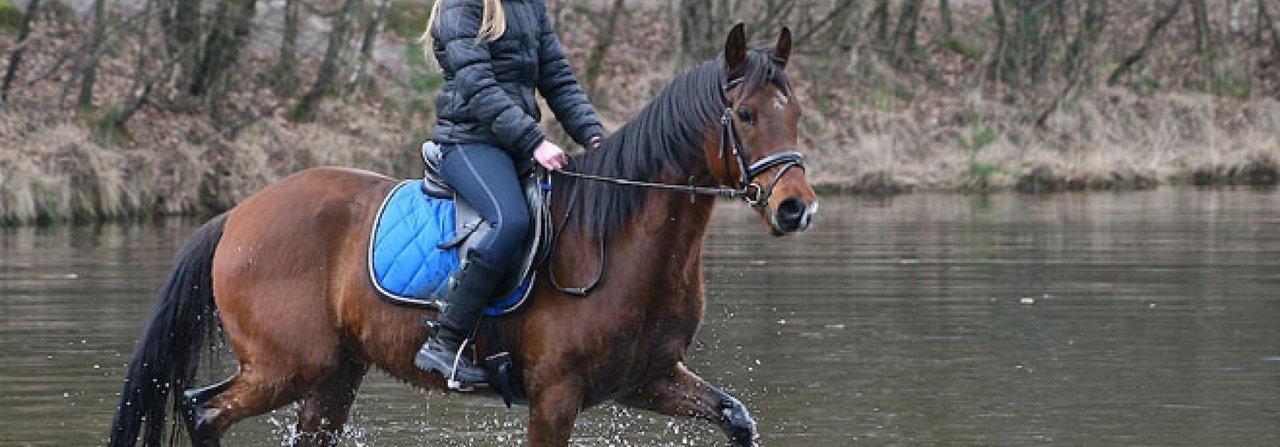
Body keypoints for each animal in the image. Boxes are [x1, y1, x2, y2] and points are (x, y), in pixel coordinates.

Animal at [104, 24, 814, 445]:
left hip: (334, 372)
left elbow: (736, 417)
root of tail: (237, 214)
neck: (621, 243)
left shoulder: (648, 379)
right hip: (286, 365)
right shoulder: (556, 397)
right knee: (204, 411)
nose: (796, 210)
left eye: (797, 113)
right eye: (744, 115)